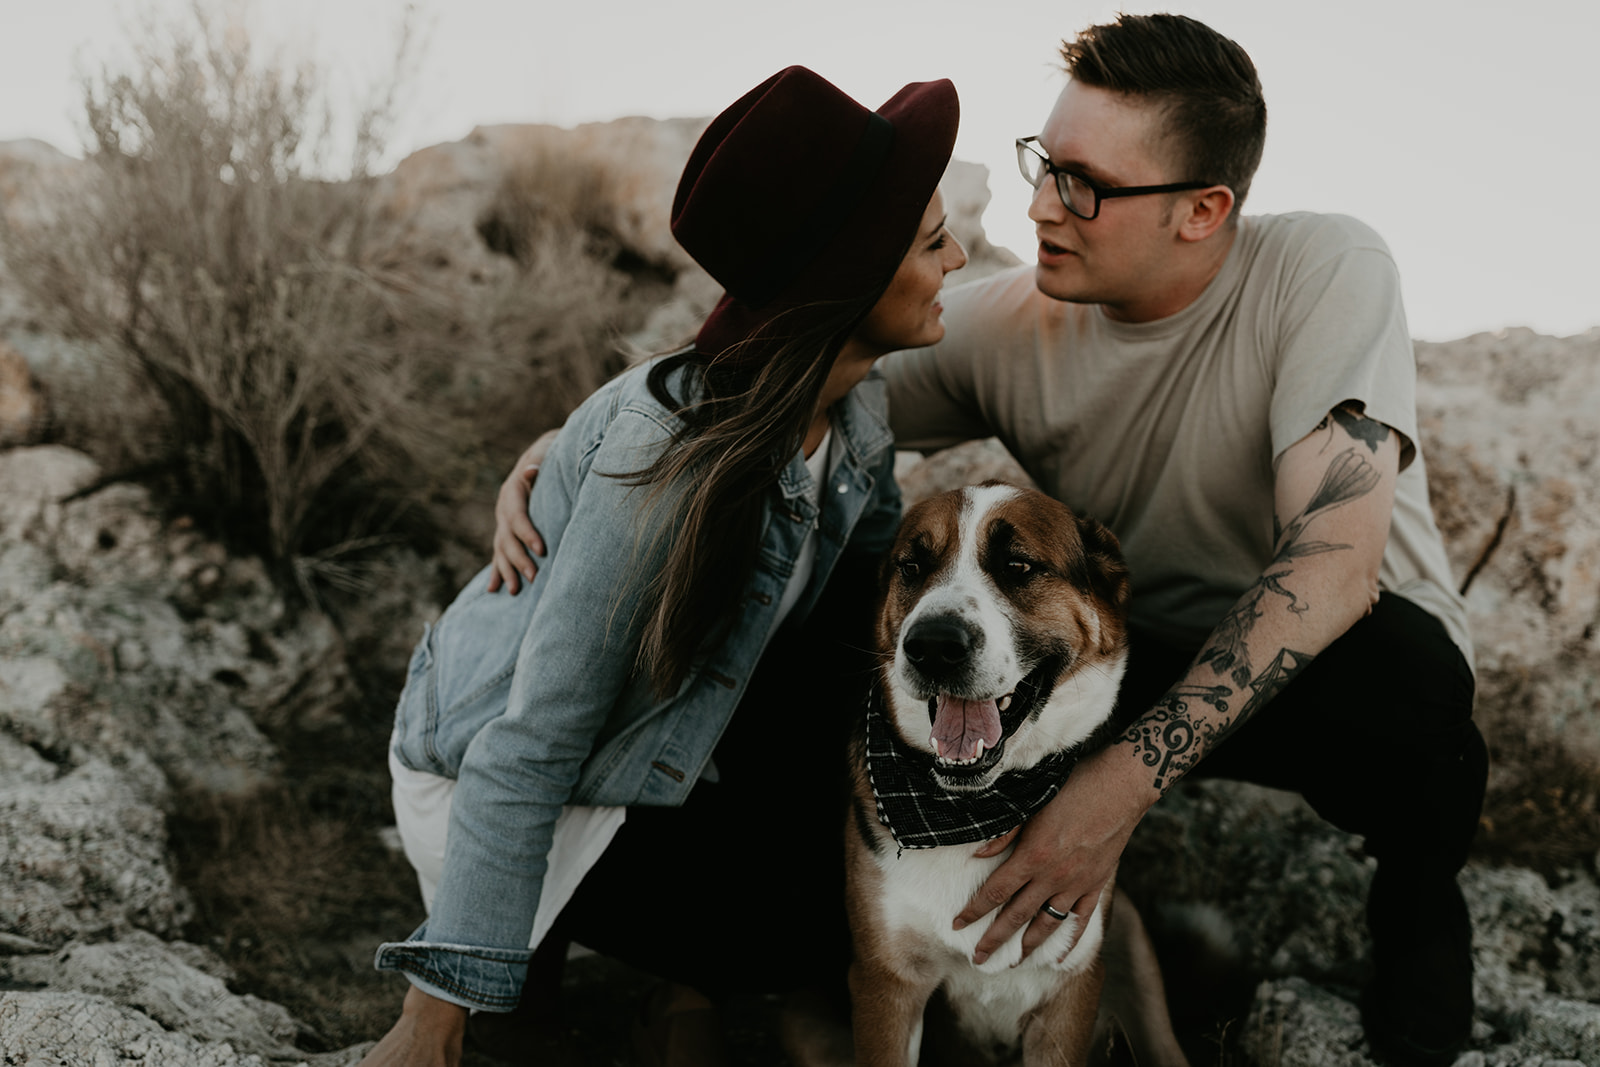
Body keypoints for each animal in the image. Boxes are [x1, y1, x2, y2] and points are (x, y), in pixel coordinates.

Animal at [844, 486, 1196, 1067]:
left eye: (1018, 566)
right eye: (912, 567)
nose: (933, 646)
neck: (972, 813)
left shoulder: (1067, 995)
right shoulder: (885, 986)